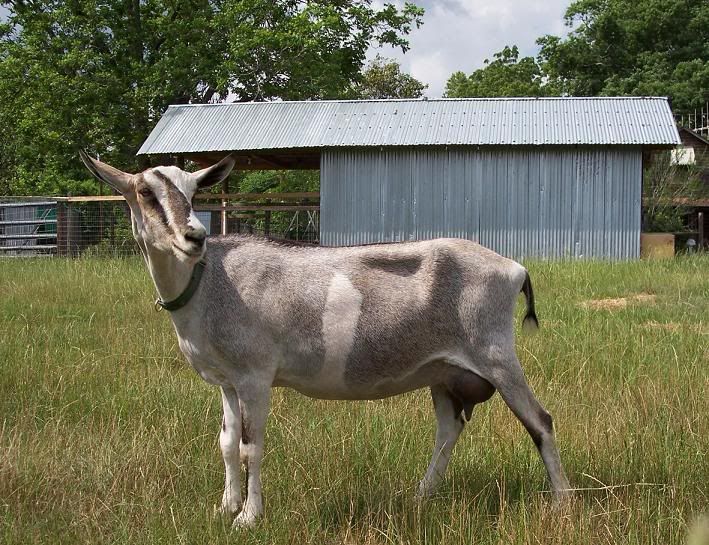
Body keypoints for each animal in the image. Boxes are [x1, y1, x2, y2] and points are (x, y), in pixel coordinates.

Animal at [80, 152, 570, 527]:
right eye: (145, 193)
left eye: (194, 192)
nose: (194, 236)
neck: (208, 281)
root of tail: (515, 269)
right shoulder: (226, 380)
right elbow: (226, 443)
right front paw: (224, 507)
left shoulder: (255, 375)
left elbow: (251, 446)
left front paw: (248, 518)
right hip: (445, 371)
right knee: (449, 430)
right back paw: (421, 495)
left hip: (495, 352)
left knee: (540, 422)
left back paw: (563, 500)